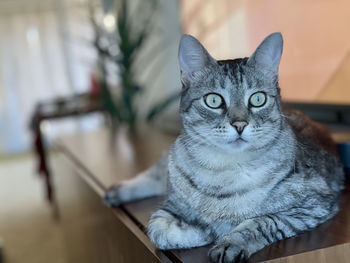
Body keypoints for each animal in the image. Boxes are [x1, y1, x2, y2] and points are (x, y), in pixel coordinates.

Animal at [104, 33, 344, 263]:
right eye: (213, 100)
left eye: (258, 99)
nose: (239, 125)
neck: (223, 170)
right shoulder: (171, 205)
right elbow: (158, 230)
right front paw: (204, 230)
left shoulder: (314, 204)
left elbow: (260, 222)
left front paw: (229, 241)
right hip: (171, 163)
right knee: (155, 176)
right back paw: (116, 192)